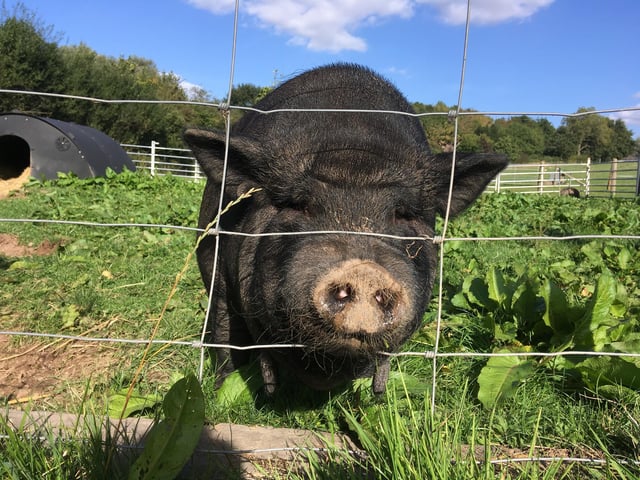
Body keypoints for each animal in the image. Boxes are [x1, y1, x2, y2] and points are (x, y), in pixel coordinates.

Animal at [184, 64, 507, 395]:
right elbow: (227, 335)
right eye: (299, 205)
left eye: (402, 214)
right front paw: (224, 389)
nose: (364, 270)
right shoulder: (218, 271)